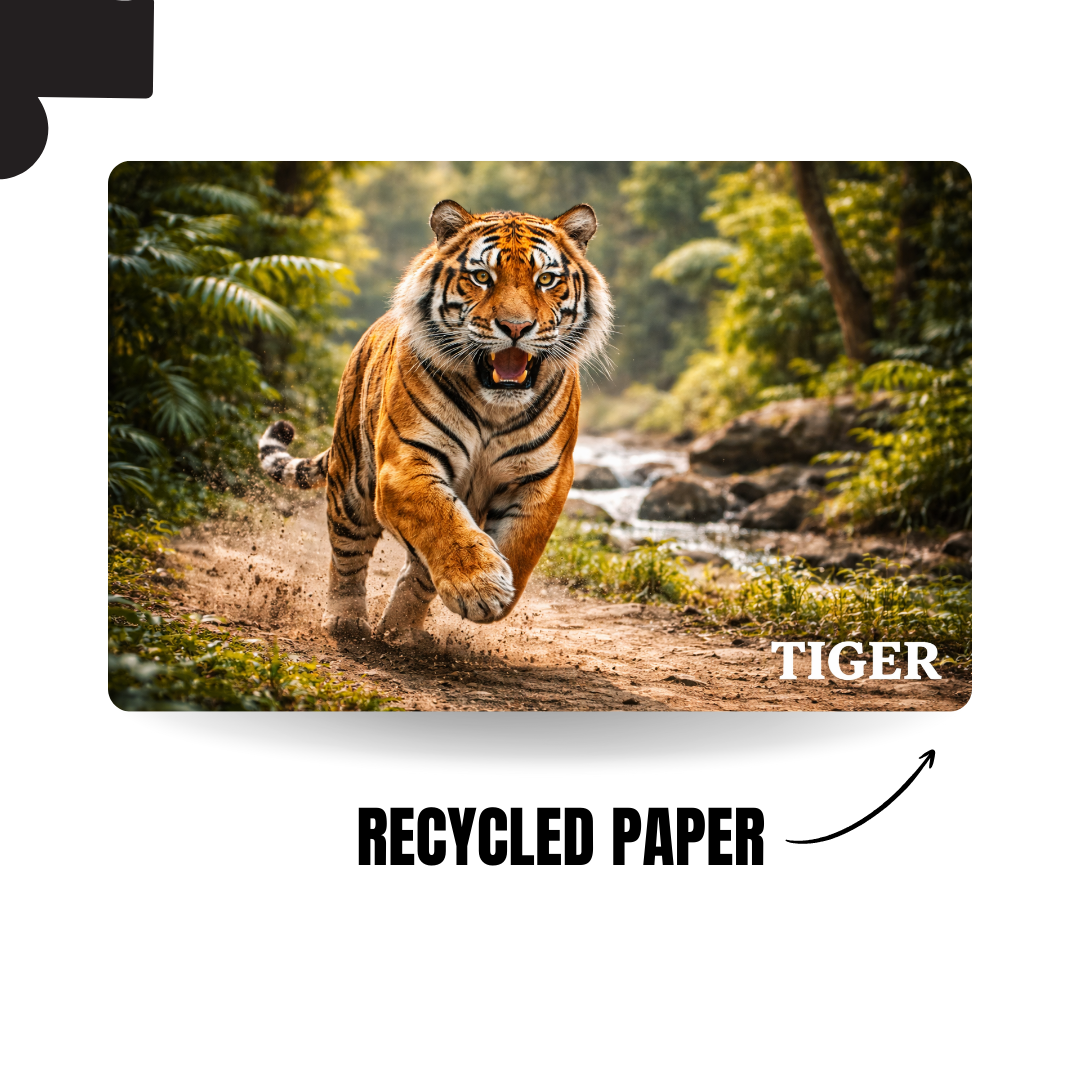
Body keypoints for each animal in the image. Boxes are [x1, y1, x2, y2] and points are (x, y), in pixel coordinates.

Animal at [257, 199, 613, 646]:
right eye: (482, 277)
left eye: (546, 279)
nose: (516, 327)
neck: (495, 406)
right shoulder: (405, 461)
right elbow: (440, 520)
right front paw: (481, 585)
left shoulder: (546, 477)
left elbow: (520, 544)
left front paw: (496, 591)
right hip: (351, 484)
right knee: (347, 555)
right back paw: (346, 621)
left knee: (417, 571)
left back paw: (402, 630)